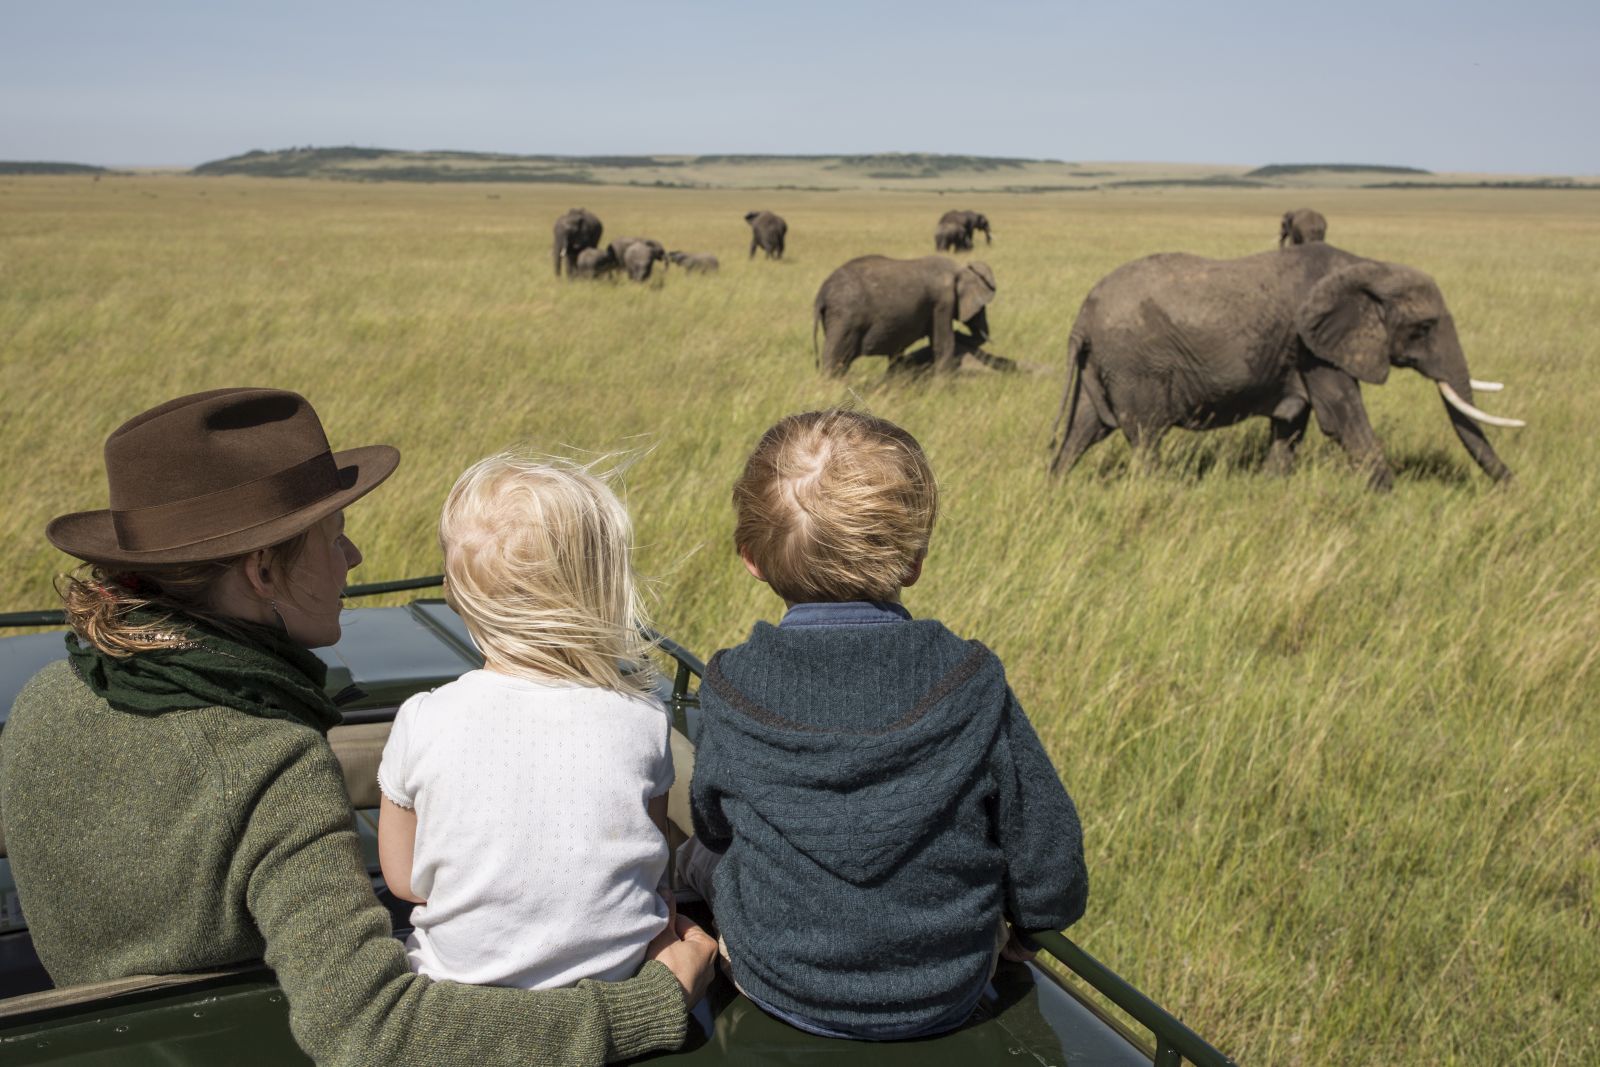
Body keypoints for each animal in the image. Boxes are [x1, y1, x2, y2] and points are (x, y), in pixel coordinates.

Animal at [813, 255, 997, 377]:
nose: (959, 333)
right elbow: (943, 344)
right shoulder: (943, 303)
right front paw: (941, 390)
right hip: (844, 319)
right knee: (836, 358)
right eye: (981, 307)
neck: (959, 269)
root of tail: (822, 293)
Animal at [1047, 242, 1524, 491]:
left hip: (1106, 365)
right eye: (1423, 328)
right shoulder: (1314, 347)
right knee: (1145, 436)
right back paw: (1157, 492)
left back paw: (1056, 487)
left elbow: (1292, 424)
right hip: (1136, 365)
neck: (1367, 267)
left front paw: (1271, 488)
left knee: (1084, 429)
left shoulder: (1301, 353)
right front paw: (1387, 499)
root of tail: (1082, 317)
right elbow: (1344, 418)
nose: (1513, 487)